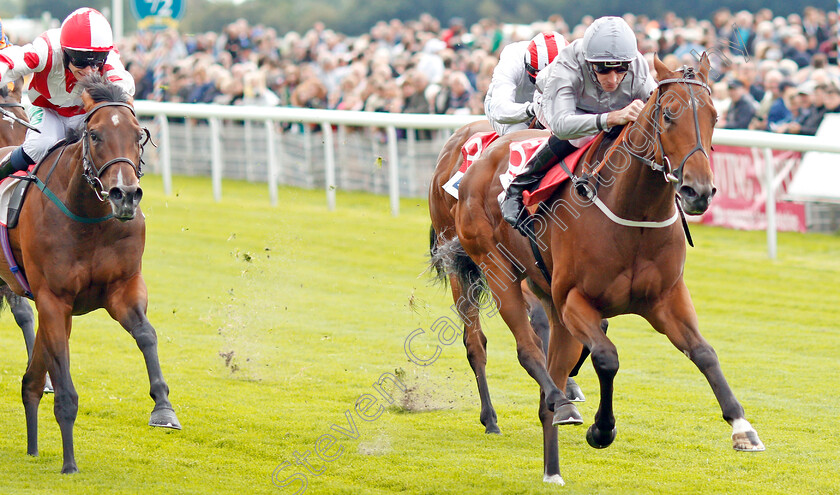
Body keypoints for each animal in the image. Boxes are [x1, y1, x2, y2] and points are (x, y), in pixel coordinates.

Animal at [0, 72, 180, 472]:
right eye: (94, 135)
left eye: (138, 135)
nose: (124, 194)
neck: (89, 218)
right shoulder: (53, 300)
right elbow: (63, 378)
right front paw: (69, 462)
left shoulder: (122, 289)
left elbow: (146, 335)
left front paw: (163, 408)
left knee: (31, 368)